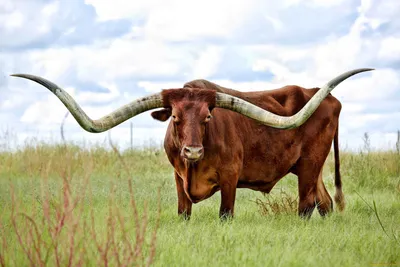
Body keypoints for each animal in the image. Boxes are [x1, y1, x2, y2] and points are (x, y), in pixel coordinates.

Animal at [13, 68, 376, 220]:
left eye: (207, 117)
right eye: (175, 117)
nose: (193, 150)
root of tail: (326, 97)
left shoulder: (230, 177)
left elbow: (225, 214)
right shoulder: (178, 179)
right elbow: (183, 213)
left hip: (311, 164)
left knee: (306, 206)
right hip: (311, 168)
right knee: (324, 202)